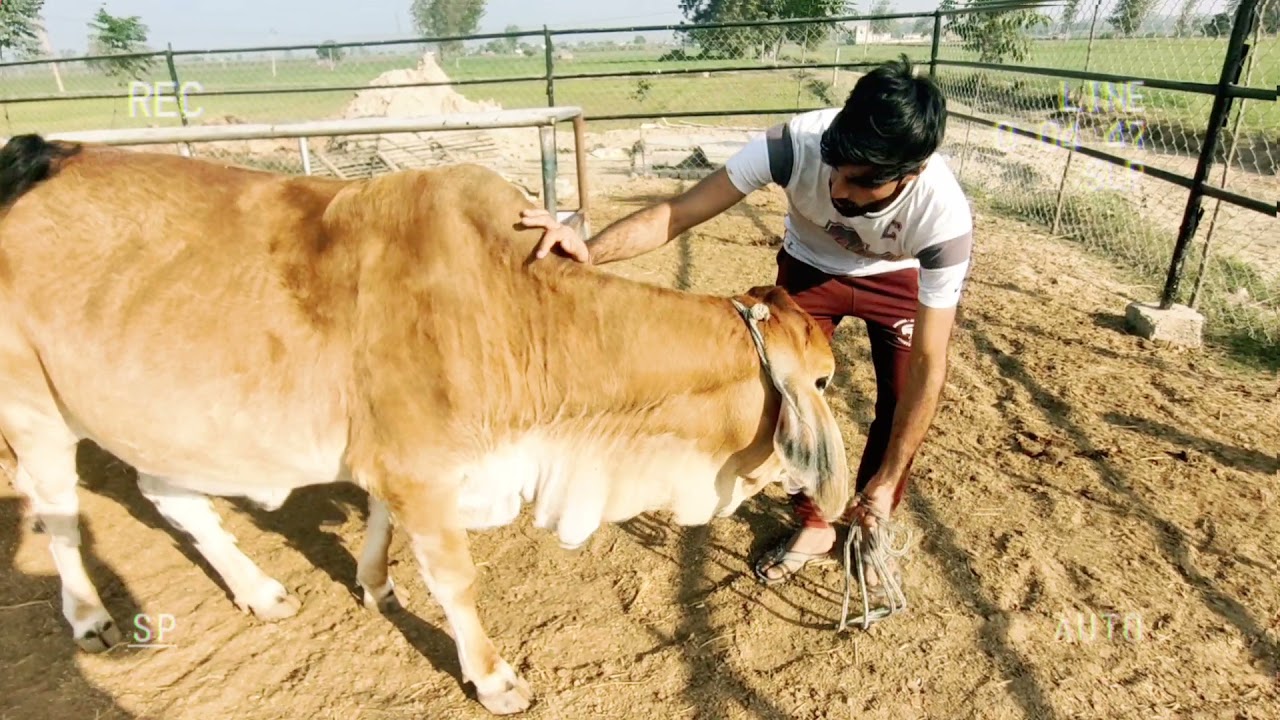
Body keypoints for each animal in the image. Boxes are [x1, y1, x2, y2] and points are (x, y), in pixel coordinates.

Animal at [0, 134, 849, 715]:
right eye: (824, 380)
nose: (823, 499)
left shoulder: (401, 463)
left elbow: (380, 522)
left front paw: (374, 584)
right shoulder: (421, 470)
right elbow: (455, 578)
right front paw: (494, 677)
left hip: (160, 416)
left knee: (171, 498)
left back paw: (259, 590)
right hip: (35, 410)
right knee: (59, 516)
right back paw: (90, 617)